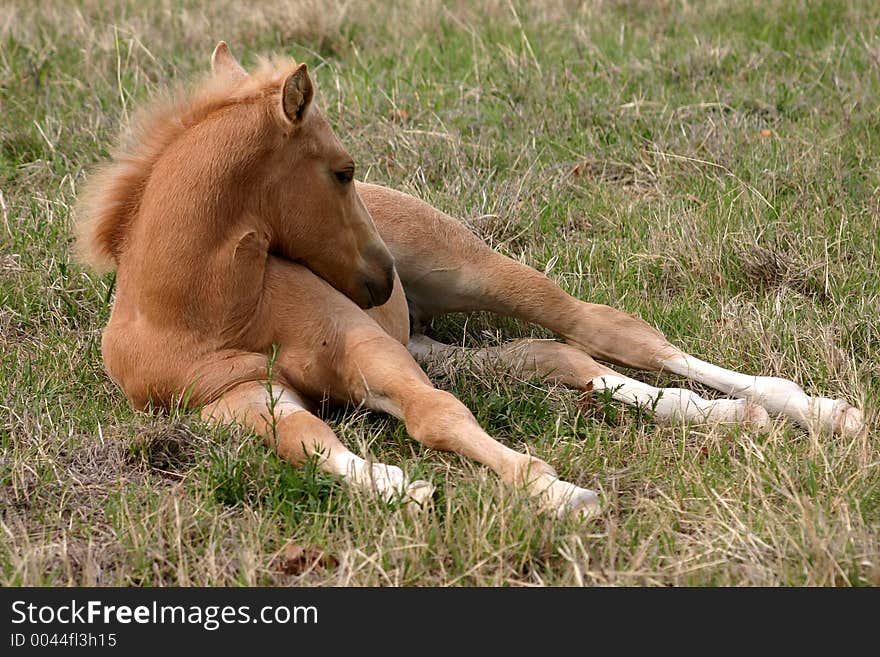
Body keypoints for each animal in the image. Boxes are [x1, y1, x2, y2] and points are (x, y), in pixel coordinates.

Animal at [75, 43, 868, 520]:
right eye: (340, 170)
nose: (381, 278)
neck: (205, 307)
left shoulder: (361, 346)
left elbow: (439, 417)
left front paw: (557, 490)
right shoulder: (234, 398)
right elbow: (308, 442)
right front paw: (401, 489)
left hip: (468, 273)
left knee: (607, 331)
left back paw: (816, 409)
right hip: (427, 338)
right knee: (555, 358)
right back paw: (733, 418)